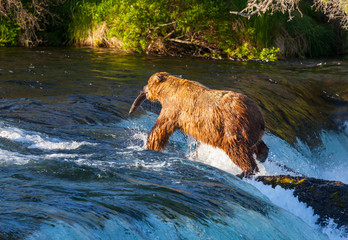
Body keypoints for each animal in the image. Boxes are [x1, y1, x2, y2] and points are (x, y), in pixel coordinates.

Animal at [129, 72, 268, 175]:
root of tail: (260, 117)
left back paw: (247, 170)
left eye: (148, 82)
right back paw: (262, 155)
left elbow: (161, 128)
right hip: (251, 129)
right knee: (256, 144)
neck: (167, 92)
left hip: (233, 125)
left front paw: (150, 145)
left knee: (237, 149)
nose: (143, 89)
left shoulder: (174, 108)